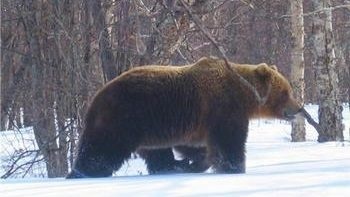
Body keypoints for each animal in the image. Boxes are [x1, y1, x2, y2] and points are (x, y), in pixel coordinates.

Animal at [66, 57, 300, 179]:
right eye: (286, 92)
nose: (298, 108)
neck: (244, 96)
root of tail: (95, 98)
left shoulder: (200, 122)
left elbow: (197, 145)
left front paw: (197, 161)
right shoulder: (224, 109)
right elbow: (228, 142)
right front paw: (234, 167)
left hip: (148, 129)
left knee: (156, 153)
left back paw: (174, 166)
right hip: (126, 117)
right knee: (103, 149)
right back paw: (82, 172)